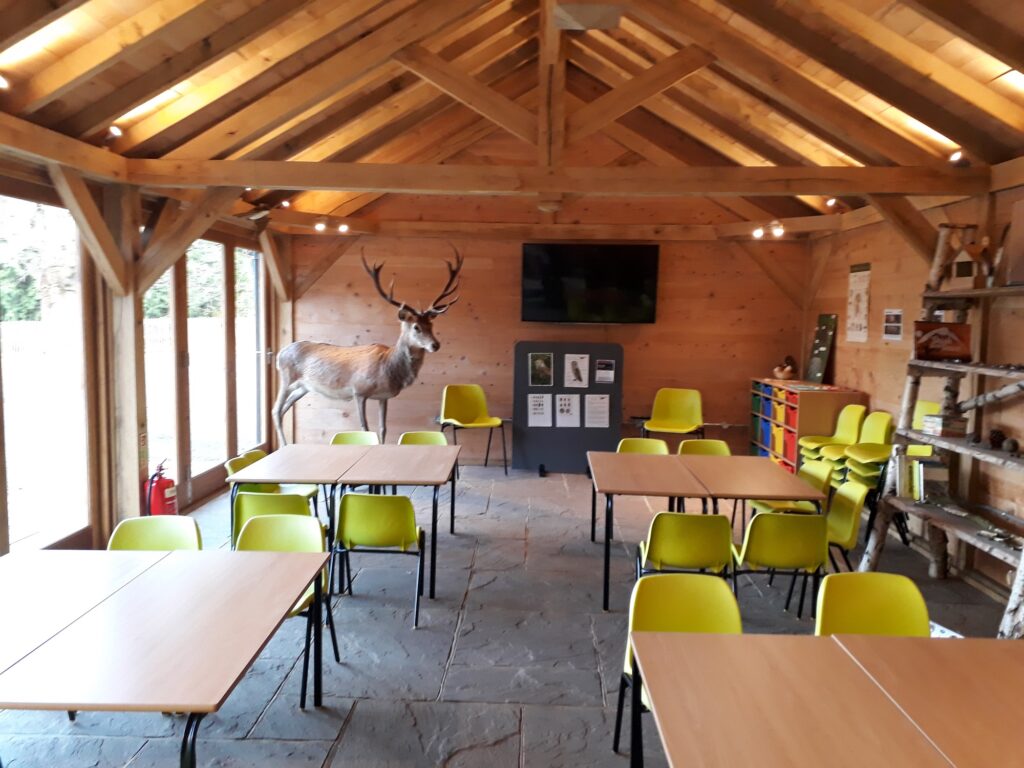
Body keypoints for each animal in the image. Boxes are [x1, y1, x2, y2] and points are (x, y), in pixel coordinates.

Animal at [272, 249, 464, 444]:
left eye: (431, 325)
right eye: (416, 327)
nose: (435, 344)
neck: (389, 369)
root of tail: (279, 354)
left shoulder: (383, 397)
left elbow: (383, 428)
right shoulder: (359, 391)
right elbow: (365, 429)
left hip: (303, 387)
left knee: (285, 408)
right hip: (286, 377)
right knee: (276, 409)